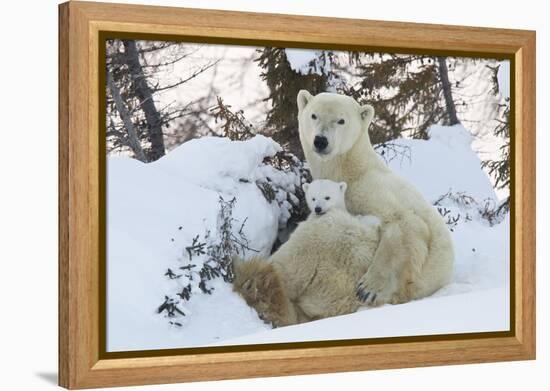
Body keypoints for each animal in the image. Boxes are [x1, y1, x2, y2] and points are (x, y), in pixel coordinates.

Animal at [300, 91, 454, 306]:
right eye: (314, 115)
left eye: (341, 120)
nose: (321, 140)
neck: (353, 170)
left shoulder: (373, 189)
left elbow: (406, 223)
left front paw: (368, 288)